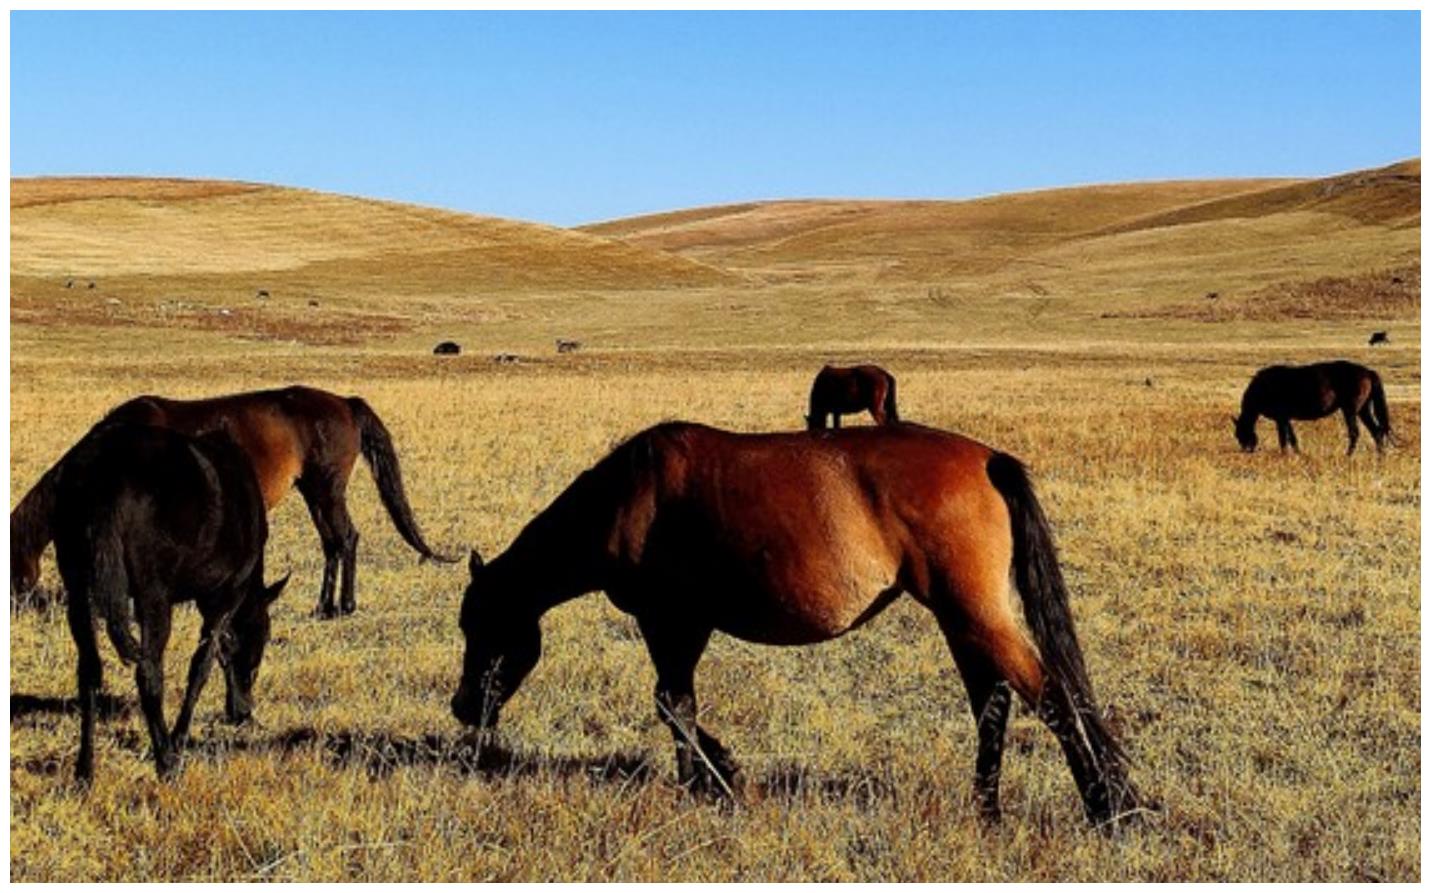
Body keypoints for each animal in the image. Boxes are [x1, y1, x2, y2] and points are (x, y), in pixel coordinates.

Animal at [6, 386, 452, 618]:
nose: (15, 606)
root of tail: (345, 401)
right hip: (312, 491)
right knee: (332, 543)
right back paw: (324, 605)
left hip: (326, 488)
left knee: (346, 539)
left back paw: (343, 606)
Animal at [446, 420, 1139, 824]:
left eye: (480, 625)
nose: (464, 706)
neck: (625, 497)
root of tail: (988, 458)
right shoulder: (682, 625)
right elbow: (679, 705)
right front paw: (710, 776)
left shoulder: (669, 620)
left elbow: (672, 703)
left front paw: (715, 782)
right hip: (961, 618)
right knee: (993, 704)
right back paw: (988, 809)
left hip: (976, 615)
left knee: (1051, 697)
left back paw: (1110, 808)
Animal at [1236, 359, 1390, 452]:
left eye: (1240, 435)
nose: (1246, 451)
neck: (1263, 388)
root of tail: (1368, 372)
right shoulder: (1285, 419)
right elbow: (1292, 438)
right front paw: (1298, 454)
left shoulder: (1280, 419)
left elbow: (1283, 439)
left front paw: (1285, 455)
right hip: (1363, 410)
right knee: (1377, 431)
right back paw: (1380, 456)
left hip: (1350, 410)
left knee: (1355, 433)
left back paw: (1348, 455)